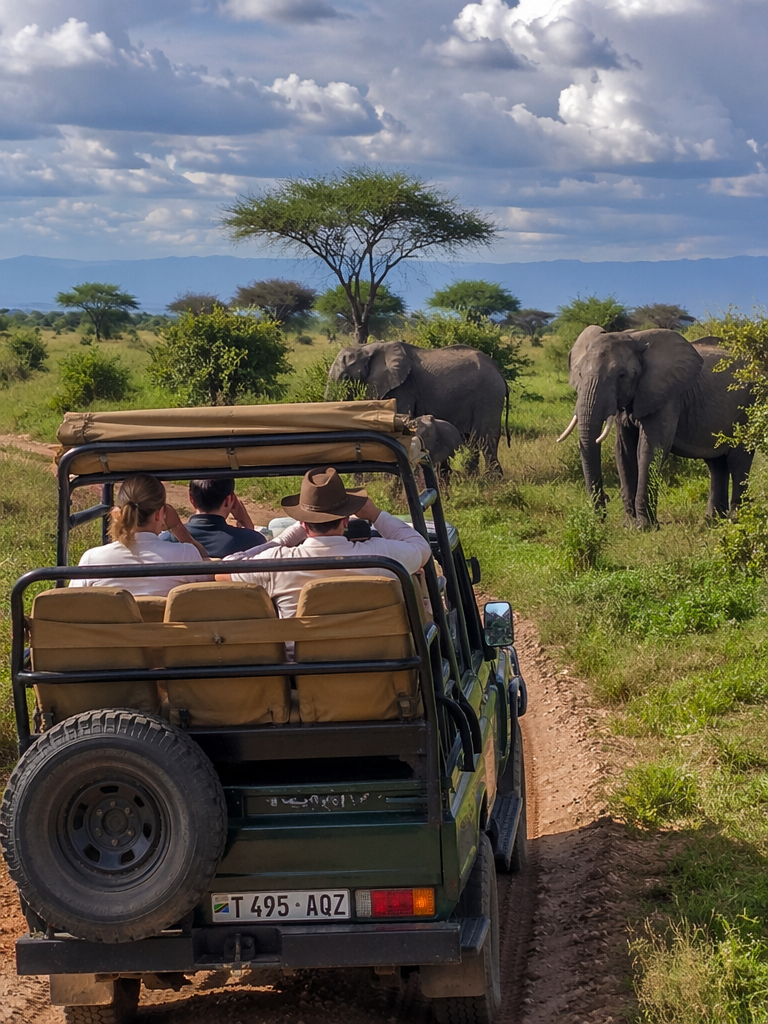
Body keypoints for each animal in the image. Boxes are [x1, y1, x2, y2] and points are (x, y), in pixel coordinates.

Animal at [327, 341, 509, 476]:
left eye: (346, 378)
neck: (367, 347)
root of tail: (498, 370)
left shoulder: (403, 387)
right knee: (471, 440)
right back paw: (472, 478)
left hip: (488, 395)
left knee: (485, 438)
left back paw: (492, 480)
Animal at [559, 326, 753, 526]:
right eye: (579, 374)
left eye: (621, 376)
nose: (604, 503)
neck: (633, 338)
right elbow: (623, 451)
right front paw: (629, 525)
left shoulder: (667, 397)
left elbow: (650, 449)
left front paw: (645, 526)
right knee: (716, 464)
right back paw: (713, 519)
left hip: (746, 409)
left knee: (737, 460)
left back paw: (736, 518)